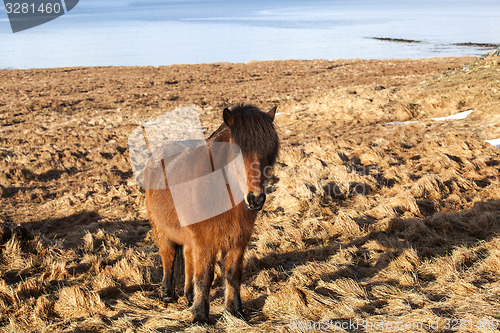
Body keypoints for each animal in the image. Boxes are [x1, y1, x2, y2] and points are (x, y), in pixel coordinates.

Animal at [145, 104, 280, 322]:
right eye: (237, 153)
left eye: (268, 153)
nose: (256, 199)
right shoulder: (205, 242)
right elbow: (205, 278)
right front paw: (200, 316)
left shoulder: (238, 240)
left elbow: (232, 275)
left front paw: (234, 311)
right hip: (161, 230)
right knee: (168, 256)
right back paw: (167, 294)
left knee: (187, 257)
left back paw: (189, 297)